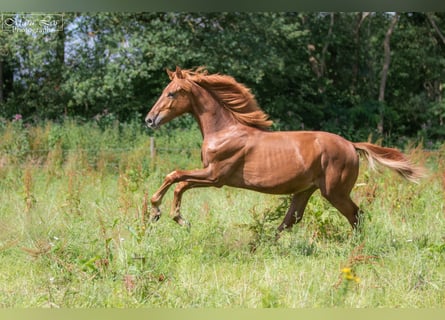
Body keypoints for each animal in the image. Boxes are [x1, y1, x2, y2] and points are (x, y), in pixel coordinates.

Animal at [144, 67, 424, 232]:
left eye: (171, 93)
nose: (149, 120)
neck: (224, 131)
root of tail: (351, 145)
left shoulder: (215, 176)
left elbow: (176, 178)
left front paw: (168, 214)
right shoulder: (211, 175)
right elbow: (178, 180)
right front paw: (164, 214)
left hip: (335, 192)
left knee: (355, 215)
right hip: (305, 191)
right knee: (290, 222)